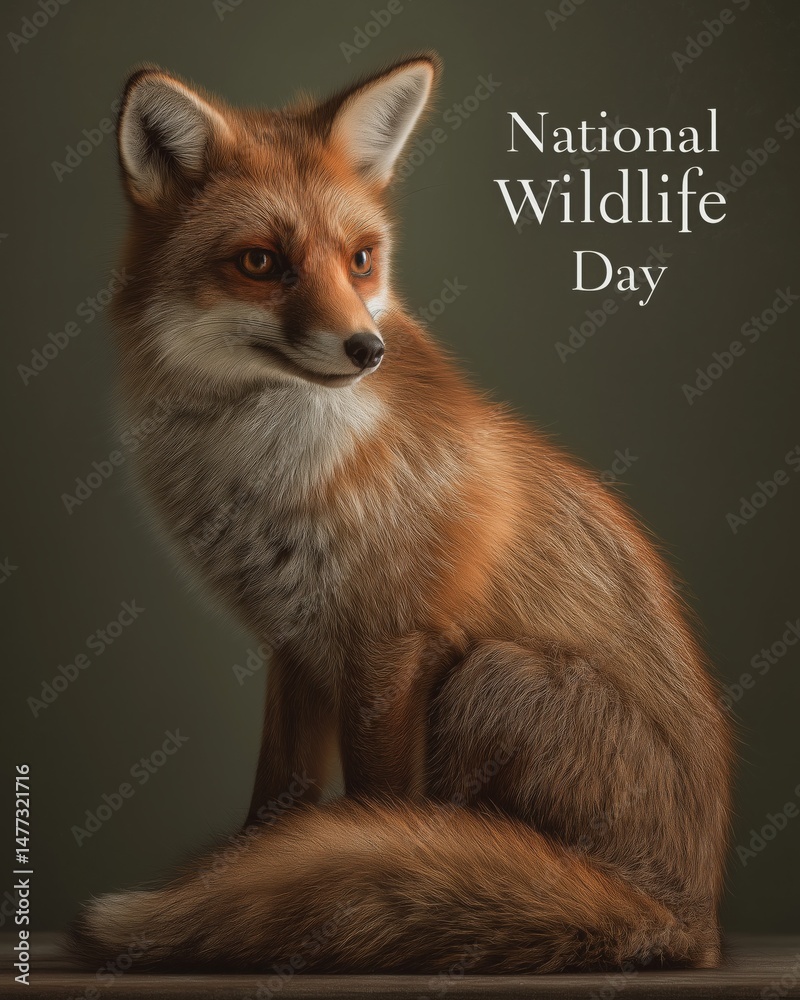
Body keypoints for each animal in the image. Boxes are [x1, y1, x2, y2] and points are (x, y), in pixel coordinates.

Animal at [71, 55, 732, 974]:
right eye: (260, 262)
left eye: (360, 260)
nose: (366, 349)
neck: (268, 474)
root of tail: (692, 919)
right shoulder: (298, 643)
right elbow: (277, 798)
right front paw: (245, 873)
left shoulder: (392, 638)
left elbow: (374, 808)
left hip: (495, 677)